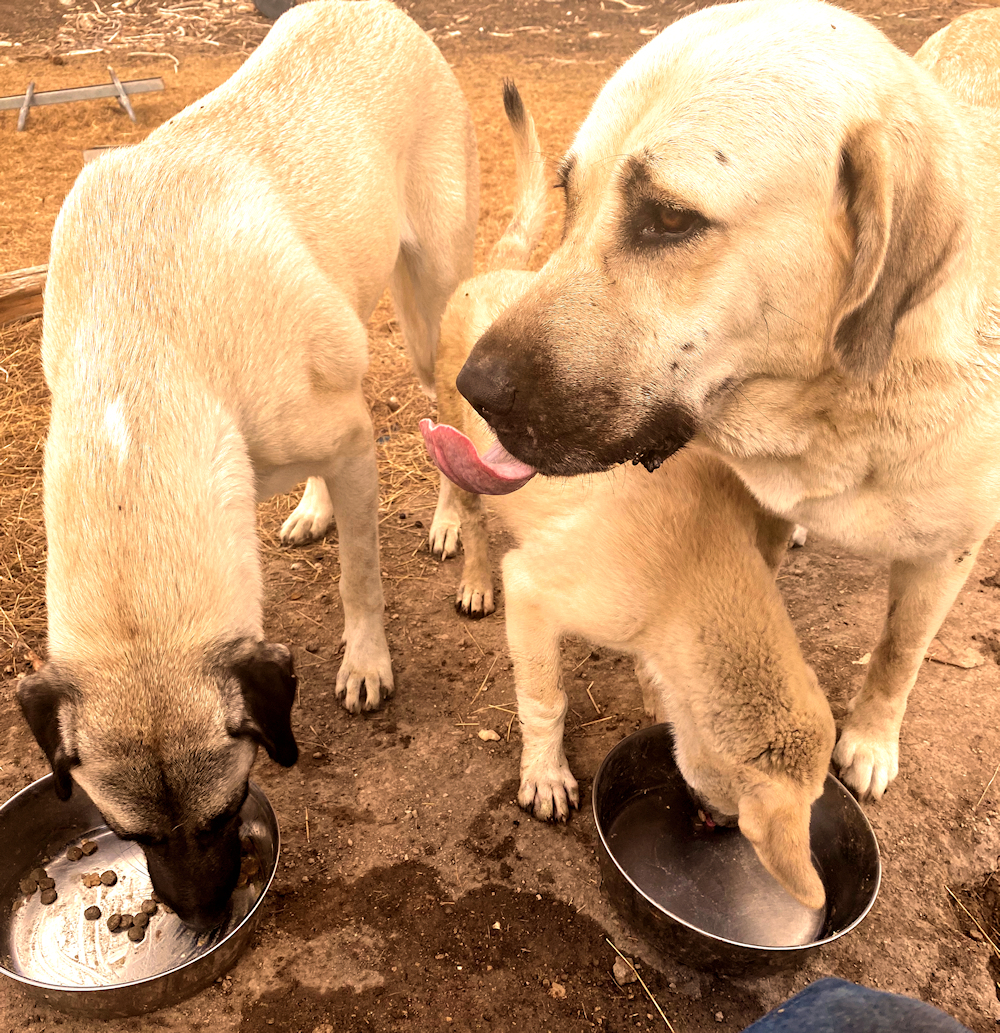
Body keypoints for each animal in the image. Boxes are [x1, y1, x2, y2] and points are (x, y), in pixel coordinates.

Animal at [17, 0, 479, 933]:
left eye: (227, 812)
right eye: (127, 833)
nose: (199, 917)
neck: (142, 367)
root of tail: (381, 13)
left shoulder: (351, 443)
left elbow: (361, 579)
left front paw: (366, 663)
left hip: (428, 314)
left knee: (444, 415)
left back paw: (451, 519)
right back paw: (311, 507)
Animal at [425, 88, 838, 913]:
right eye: (740, 813)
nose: (712, 824)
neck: (695, 566)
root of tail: (500, 273)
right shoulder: (539, 594)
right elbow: (544, 699)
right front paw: (546, 776)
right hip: (464, 461)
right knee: (477, 525)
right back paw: (474, 578)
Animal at [456, 0, 999, 801]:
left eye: (671, 219)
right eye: (569, 196)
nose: (476, 389)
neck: (844, 414)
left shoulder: (945, 554)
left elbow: (899, 653)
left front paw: (871, 739)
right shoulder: (759, 513)